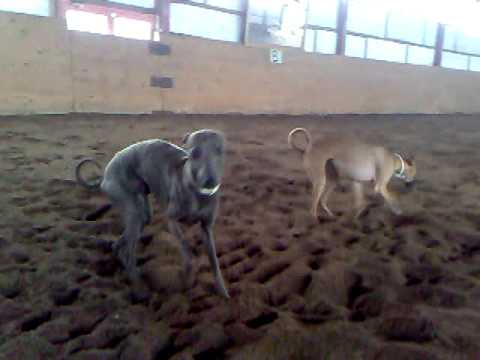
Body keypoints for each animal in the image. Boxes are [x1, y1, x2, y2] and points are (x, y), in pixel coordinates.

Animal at [75, 129, 231, 298]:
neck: (196, 191)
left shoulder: (206, 228)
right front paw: (187, 277)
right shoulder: (172, 221)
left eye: (220, 151)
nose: (210, 181)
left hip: (142, 214)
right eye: (195, 152)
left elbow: (214, 262)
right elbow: (186, 248)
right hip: (132, 210)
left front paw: (223, 293)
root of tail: (105, 174)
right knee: (128, 252)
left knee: (120, 245)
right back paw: (139, 289)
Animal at [288, 128, 416, 218]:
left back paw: (332, 217)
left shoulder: (357, 183)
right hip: (320, 181)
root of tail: (308, 147)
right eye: (414, 173)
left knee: (323, 201)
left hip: (333, 180)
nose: (411, 185)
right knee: (313, 209)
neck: (393, 159)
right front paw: (398, 211)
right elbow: (392, 198)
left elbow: (360, 203)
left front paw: (357, 218)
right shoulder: (380, 186)